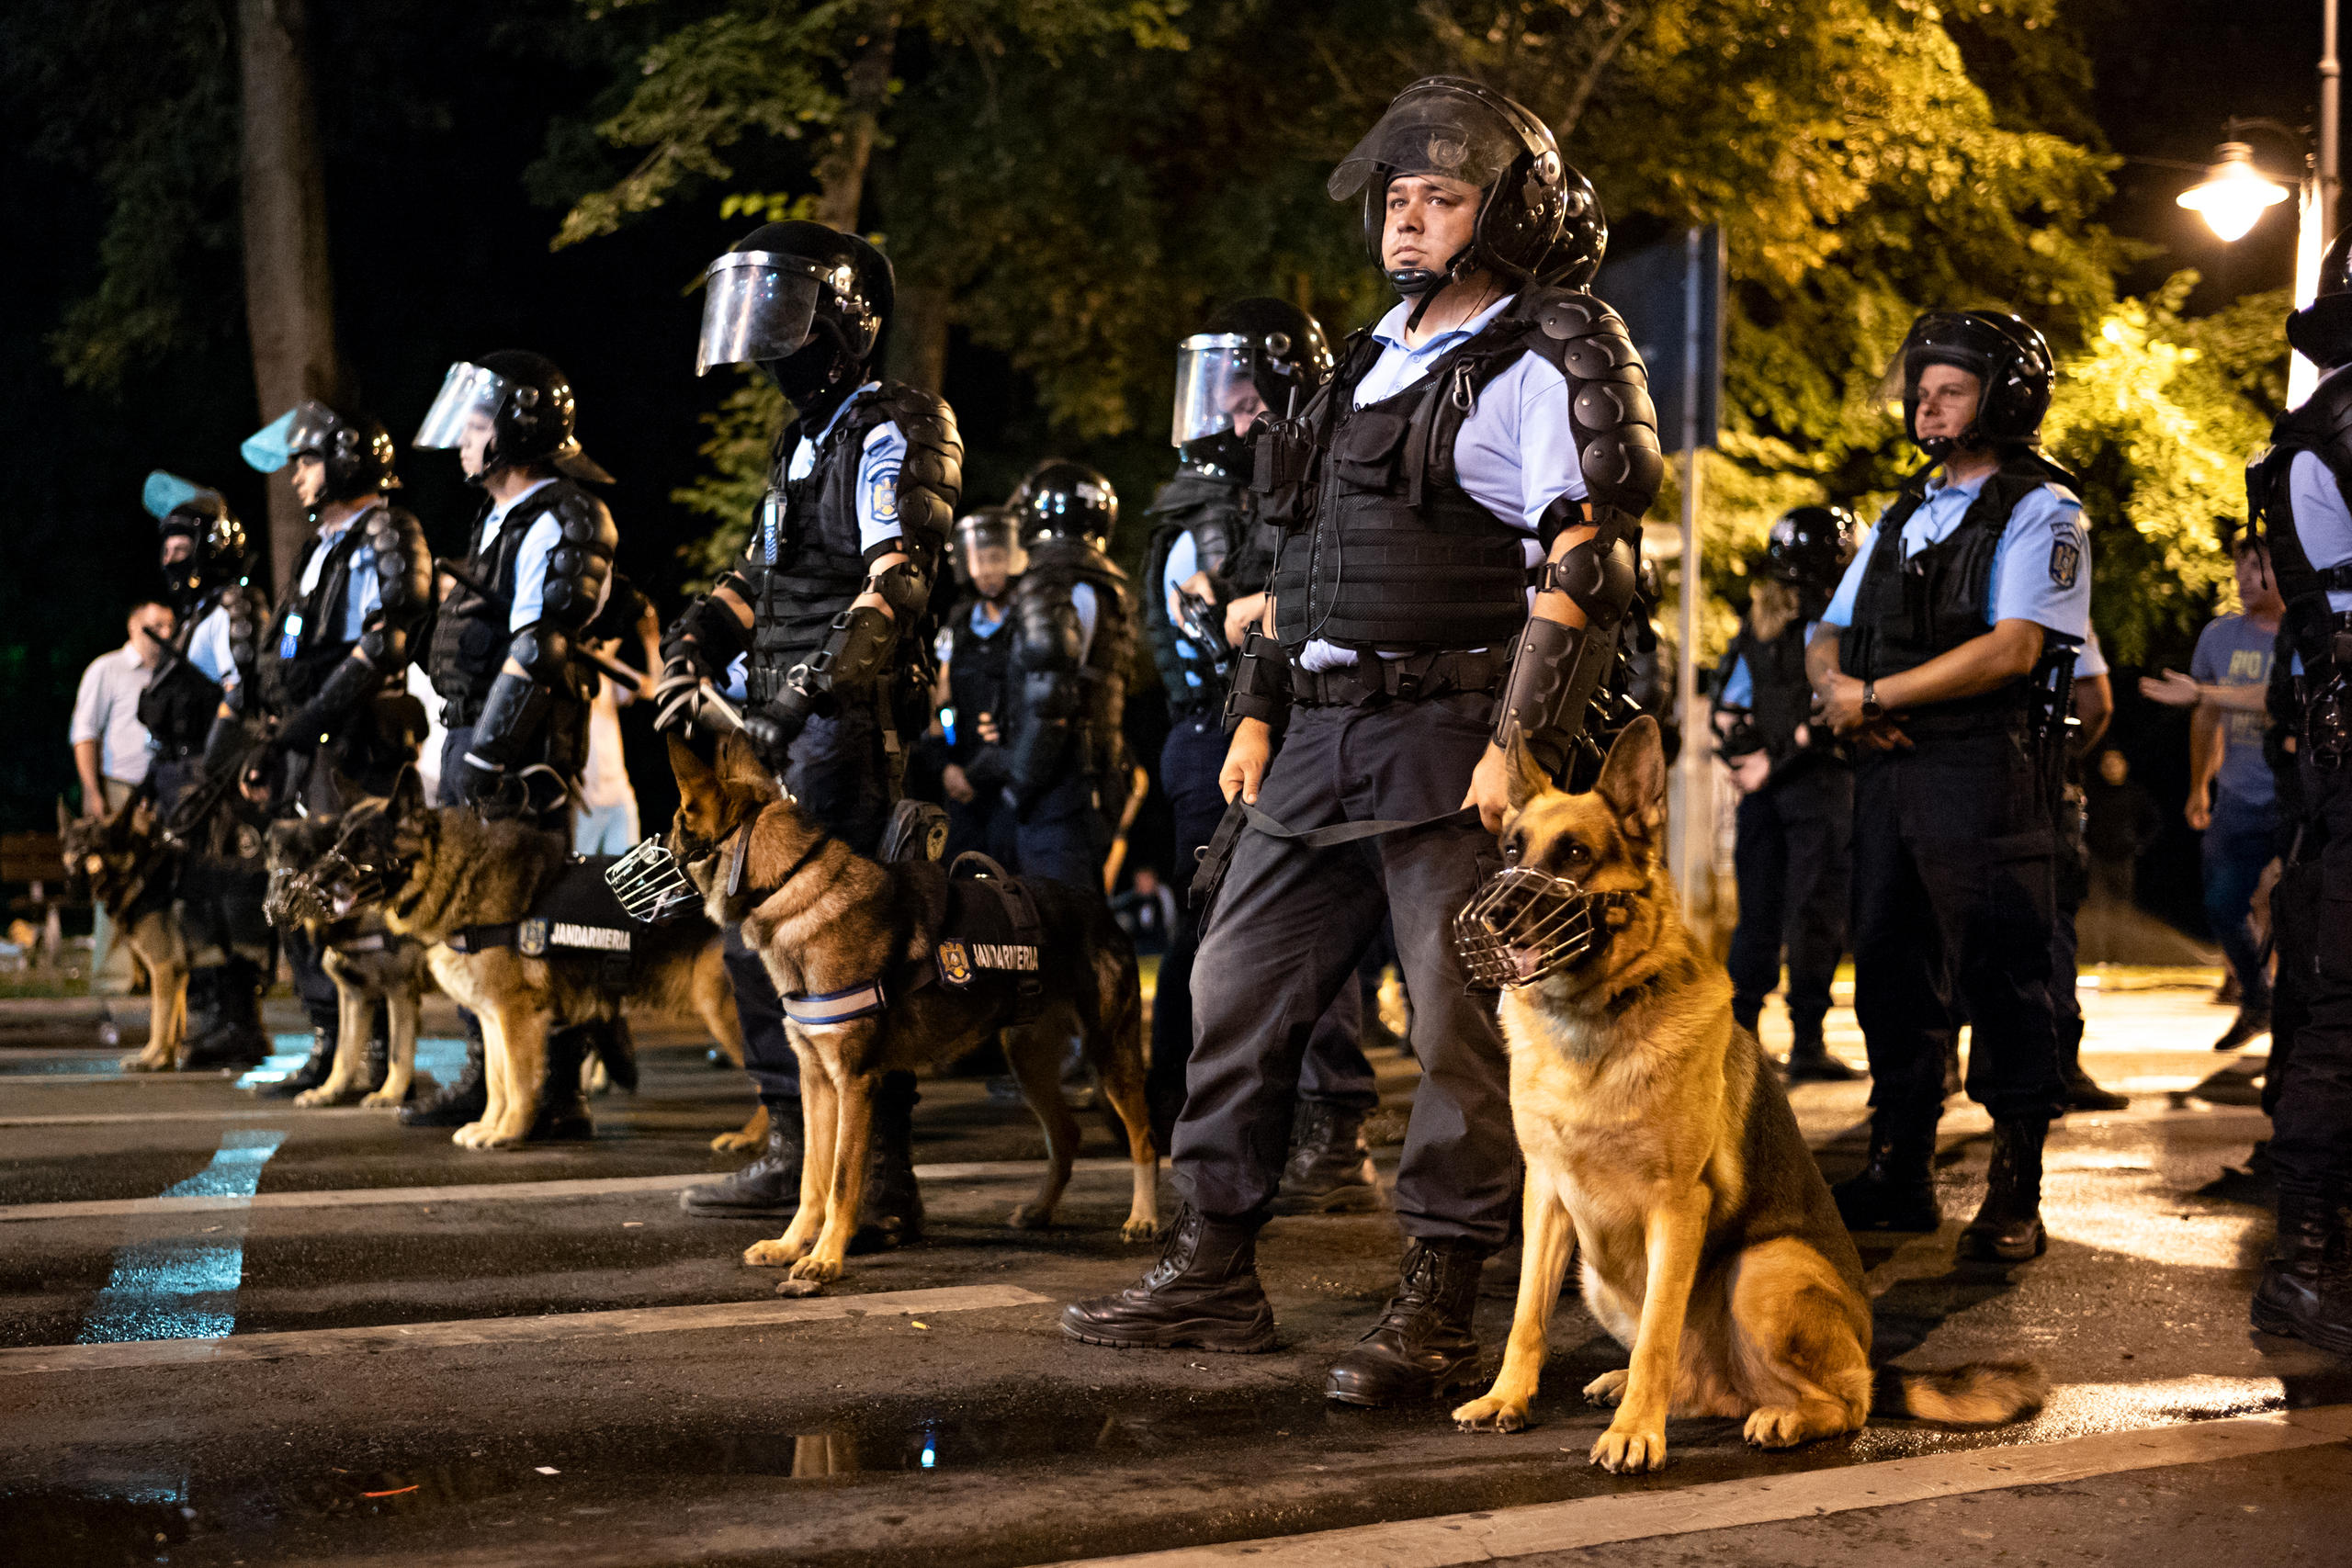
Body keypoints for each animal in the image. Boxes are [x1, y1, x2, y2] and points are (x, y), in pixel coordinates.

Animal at [60, 804, 187, 1072]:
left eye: (95, 847)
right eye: (72, 847)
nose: (72, 884)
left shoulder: (164, 966)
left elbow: (160, 1018)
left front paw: (153, 1058)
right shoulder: (175, 969)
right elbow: (170, 1017)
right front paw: (164, 1059)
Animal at [265, 818, 435, 1109]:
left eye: (313, 855)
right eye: (279, 855)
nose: (280, 908)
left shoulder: (400, 991)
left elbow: (398, 1050)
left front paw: (389, 1095)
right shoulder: (354, 995)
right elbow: (344, 1051)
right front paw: (328, 1092)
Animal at [282, 771, 742, 1152]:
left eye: (364, 846)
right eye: (337, 842)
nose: (309, 883)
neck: (459, 876)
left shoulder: (513, 1015)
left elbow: (519, 1082)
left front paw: (507, 1134)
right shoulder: (491, 1018)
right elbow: (497, 1079)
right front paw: (491, 1125)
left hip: (721, 1011)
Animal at [668, 738, 1152, 1288]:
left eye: (673, 827)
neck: (792, 886)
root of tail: (1102, 908)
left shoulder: (854, 1083)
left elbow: (840, 1181)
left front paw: (826, 1257)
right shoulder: (816, 1081)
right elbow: (812, 1179)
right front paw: (791, 1245)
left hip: (1110, 1052)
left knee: (1144, 1137)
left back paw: (1144, 1218)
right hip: (1027, 1062)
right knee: (1067, 1135)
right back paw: (1040, 1211)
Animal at [1448, 719, 2041, 1476]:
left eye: (1575, 854)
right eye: (1511, 850)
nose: (1492, 920)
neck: (1599, 1018)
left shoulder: (1678, 1206)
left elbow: (1657, 1335)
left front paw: (1634, 1432)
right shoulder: (1548, 1197)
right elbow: (1527, 1317)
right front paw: (1508, 1398)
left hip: (1761, 1269)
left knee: (1842, 1400)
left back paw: (1781, 1416)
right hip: (1597, 1275)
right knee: (1698, 1382)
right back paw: (1643, 1387)